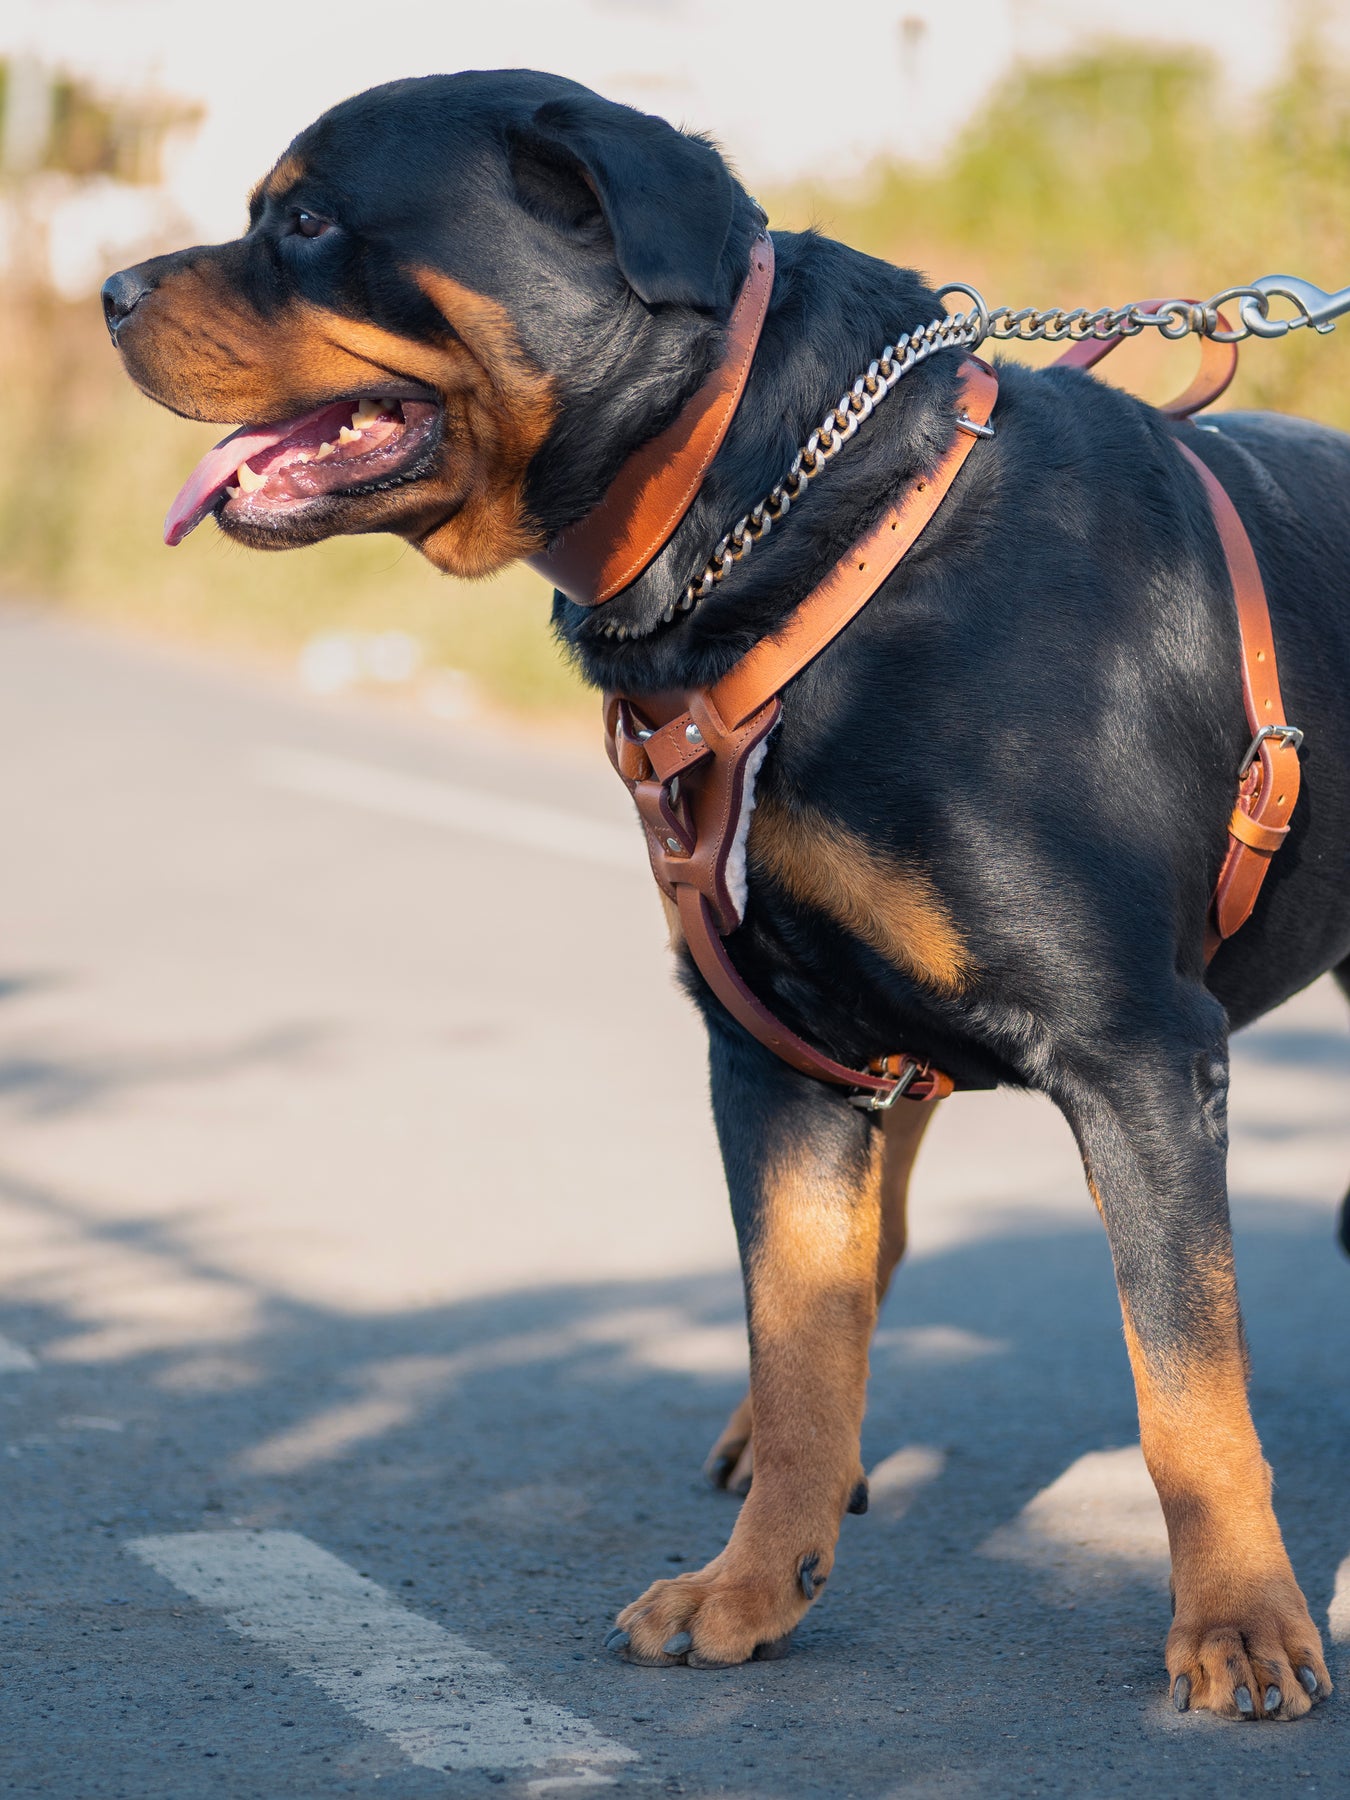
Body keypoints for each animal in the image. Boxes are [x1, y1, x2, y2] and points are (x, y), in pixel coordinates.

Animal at [105, 70, 1350, 1720]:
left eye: (305, 220)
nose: (109, 292)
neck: (795, 527)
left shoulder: (1136, 1049)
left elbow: (1187, 1385)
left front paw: (1240, 1625)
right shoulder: (774, 1050)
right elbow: (800, 1340)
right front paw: (755, 1585)